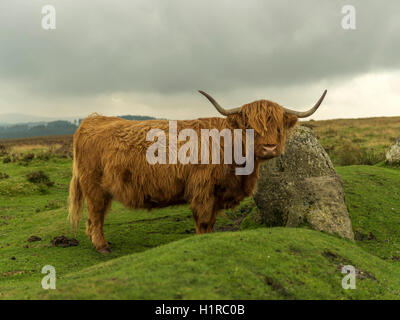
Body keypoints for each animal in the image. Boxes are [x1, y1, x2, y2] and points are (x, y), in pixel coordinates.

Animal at [68, 90, 324, 252]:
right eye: (250, 126)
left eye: (278, 127)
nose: (269, 147)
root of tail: (93, 119)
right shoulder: (203, 192)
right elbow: (203, 222)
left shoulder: (217, 195)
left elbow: (210, 223)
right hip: (94, 186)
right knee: (95, 215)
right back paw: (102, 246)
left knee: (95, 217)